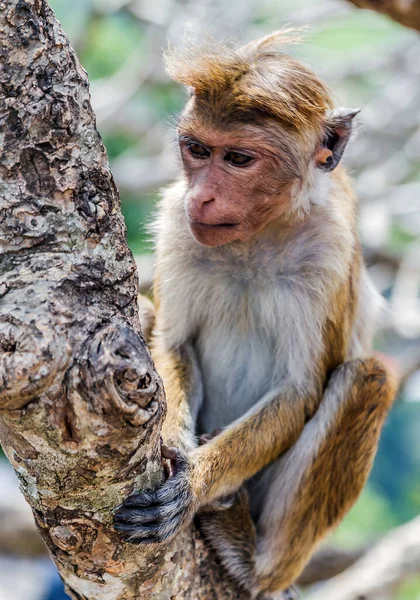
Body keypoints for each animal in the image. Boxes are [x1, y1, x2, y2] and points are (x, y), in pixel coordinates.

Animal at [114, 32, 398, 600]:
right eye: (198, 150)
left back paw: (257, 564)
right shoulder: (177, 223)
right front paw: (173, 443)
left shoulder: (328, 251)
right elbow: (173, 342)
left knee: (368, 377)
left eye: (240, 158)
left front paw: (194, 482)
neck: (257, 237)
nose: (202, 195)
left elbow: (300, 389)